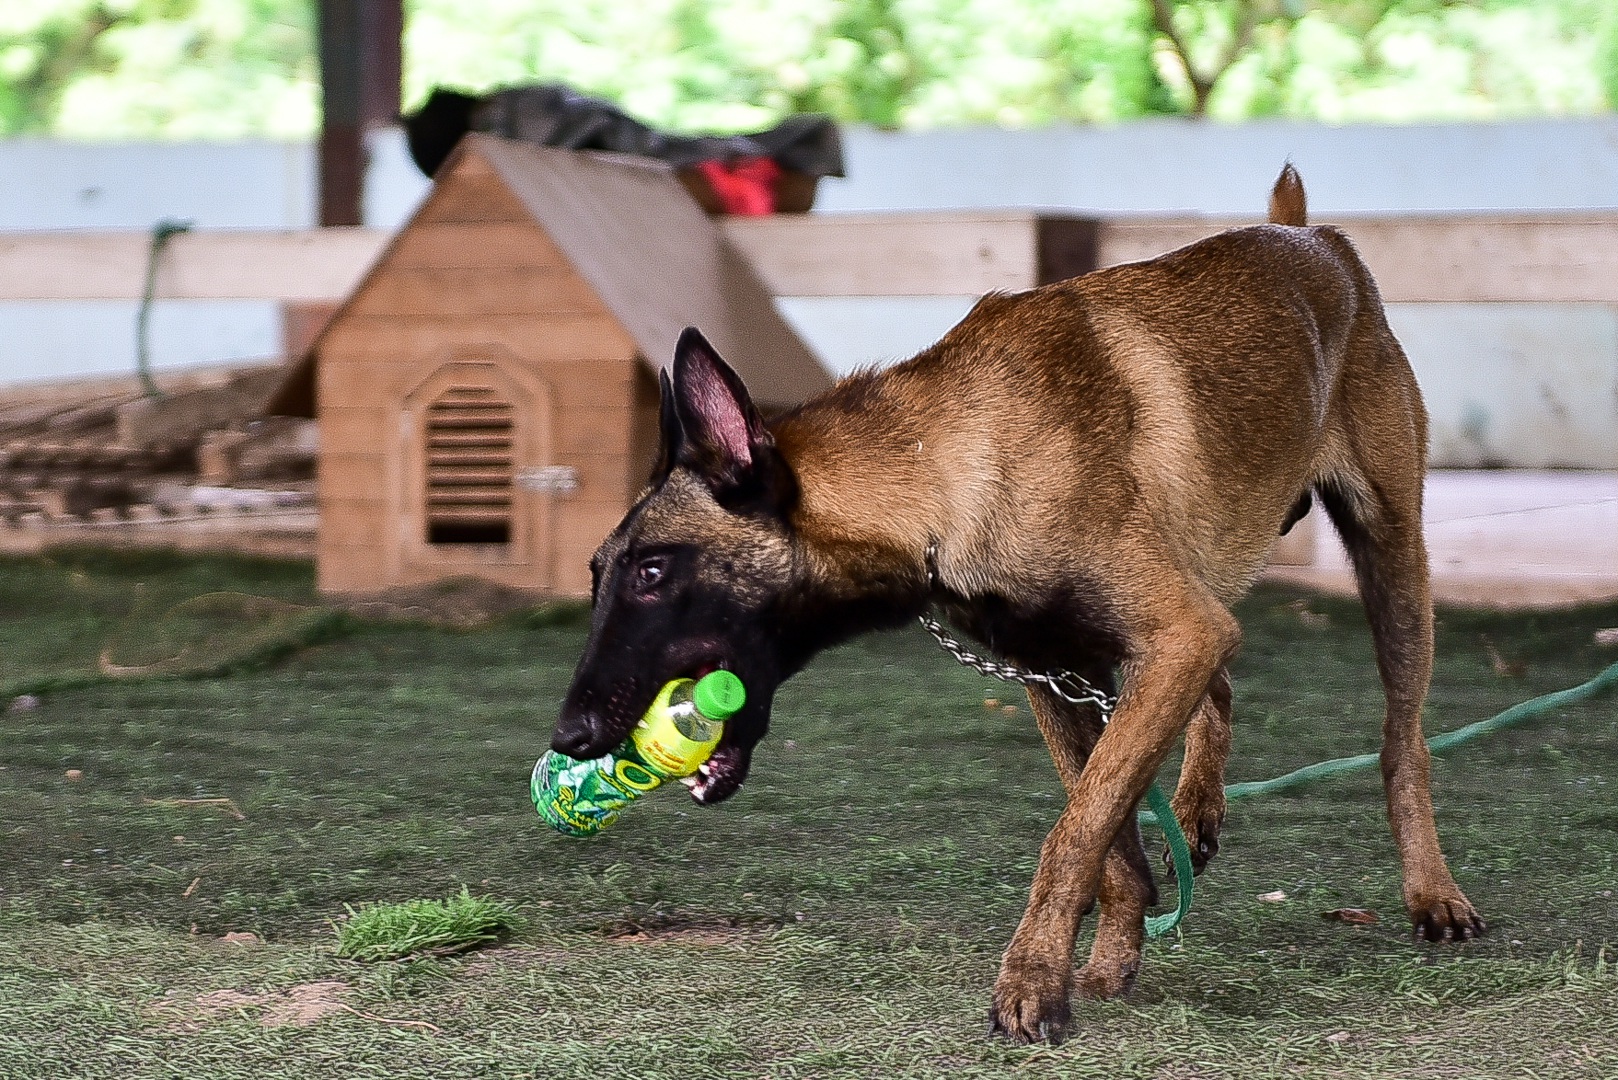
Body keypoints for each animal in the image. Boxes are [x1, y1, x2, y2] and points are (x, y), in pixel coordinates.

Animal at [550, 166, 1482, 1049]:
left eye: (653, 572)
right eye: (599, 574)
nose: (569, 736)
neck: (943, 468)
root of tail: (1304, 234)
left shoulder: (1171, 637)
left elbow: (1074, 831)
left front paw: (1031, 981)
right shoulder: (1065, 670)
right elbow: (1108, 835)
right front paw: (1105, 954)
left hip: (1392, 567)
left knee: (1402, 742)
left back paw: (1432, 890)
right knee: (1222, 687)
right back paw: (1196, 810)